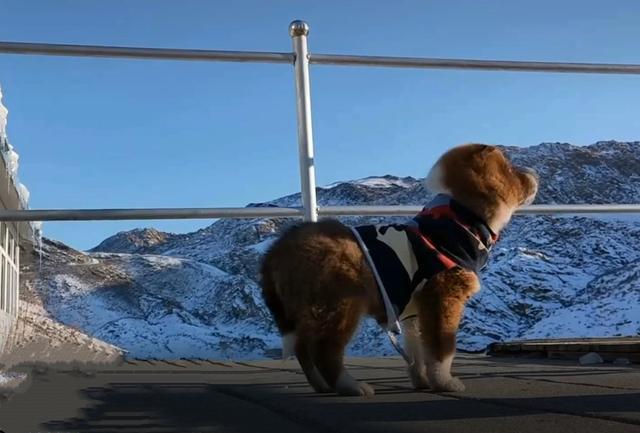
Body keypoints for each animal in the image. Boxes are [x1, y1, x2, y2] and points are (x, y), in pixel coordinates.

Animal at [258, 144, 536, 394]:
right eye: (510, 169)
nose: (534, 173)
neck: (459, 220)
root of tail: (276, 250)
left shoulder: (412, 310)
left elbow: (418, 350)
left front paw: (422, 381)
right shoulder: (444, 297)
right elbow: (443, 347)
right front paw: (445, 382)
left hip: (309, 311)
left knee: (303, 348)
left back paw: (322, 386)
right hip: (339, 304)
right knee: (325, 351)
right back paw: (351, 386)